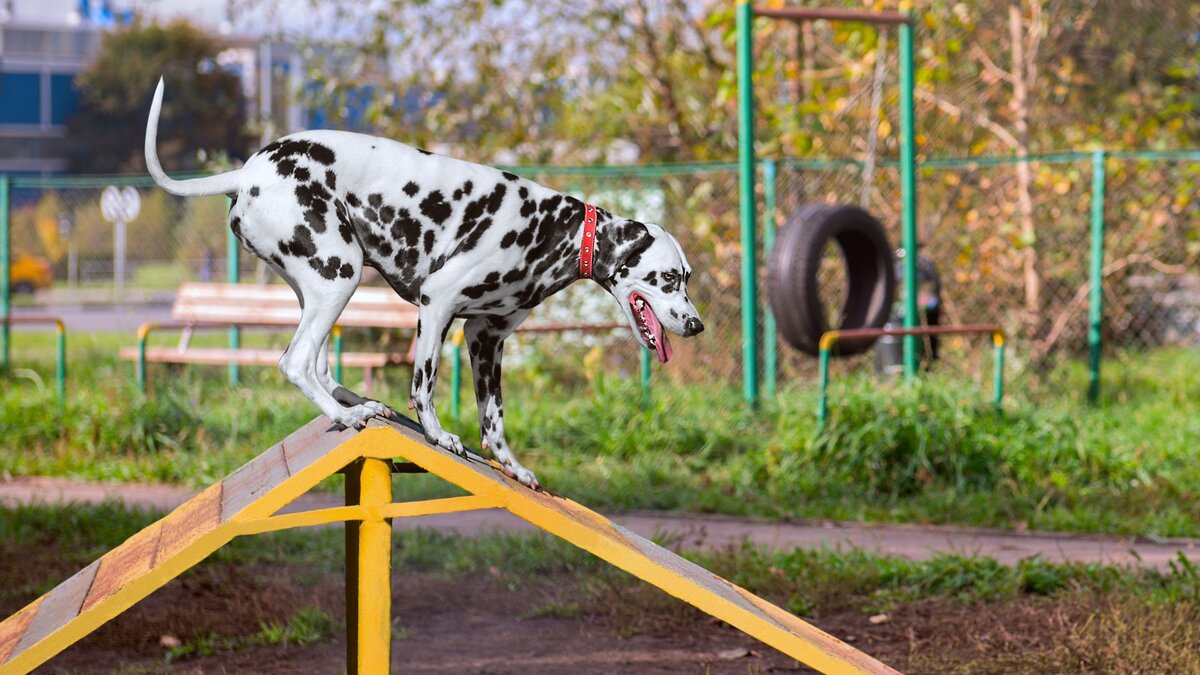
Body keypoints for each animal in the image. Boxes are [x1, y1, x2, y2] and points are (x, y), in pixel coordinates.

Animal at [145, 78, 700, 485]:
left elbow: (495, 420)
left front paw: (513, 467)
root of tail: (247, 173)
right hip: (340, 276)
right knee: (296, 362)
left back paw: (356, 405)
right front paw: (437, 435)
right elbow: (425, 384)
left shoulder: (486, 338)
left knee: (319, 364)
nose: (695, 324)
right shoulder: (438, 304)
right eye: (668, 277)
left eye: (687, 278)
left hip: (321, 286)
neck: (554, 229)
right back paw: (347, 416)